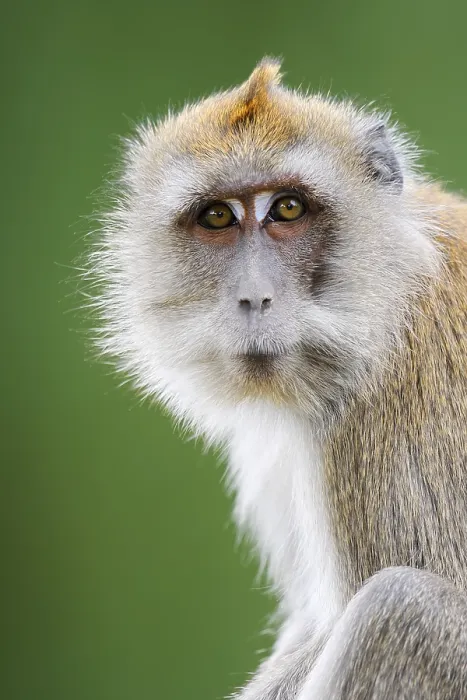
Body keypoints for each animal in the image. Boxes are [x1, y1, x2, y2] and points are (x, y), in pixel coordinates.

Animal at [88, 58, 467, 698]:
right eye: (218, 216)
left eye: (288, 209)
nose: (254, 297)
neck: (387, 296)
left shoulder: (379, 422)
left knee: (401, 606)